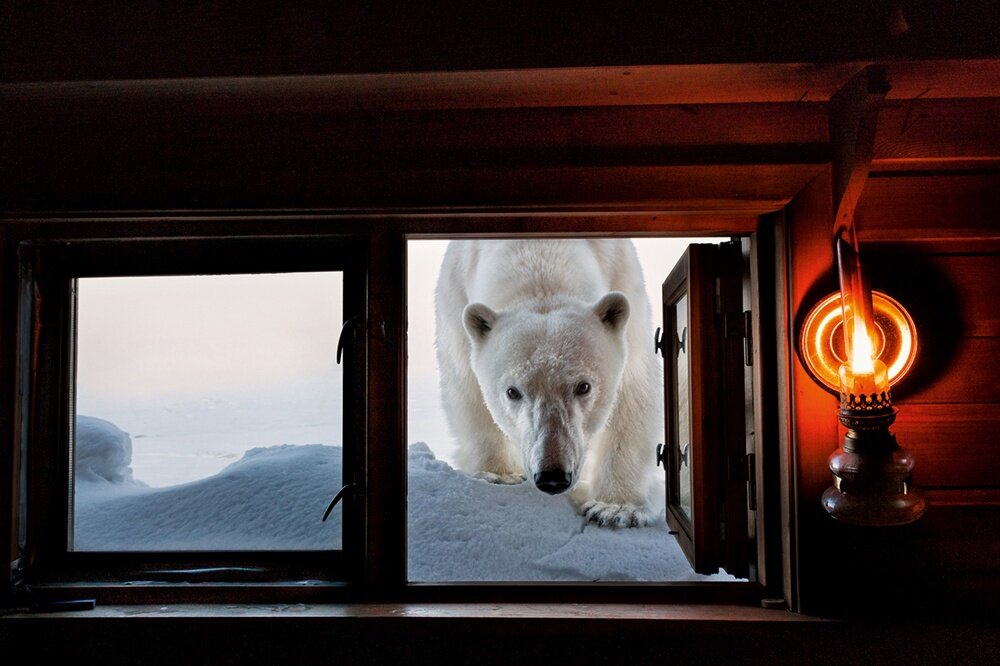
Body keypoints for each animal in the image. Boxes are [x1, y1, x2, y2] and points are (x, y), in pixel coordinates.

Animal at [438, 237, 664, 524]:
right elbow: (467, 389)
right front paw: (498, 474)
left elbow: (632, 395)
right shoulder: (455, 298)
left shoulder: (623, 280)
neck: (538, 251)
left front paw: (615, 508)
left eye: (584, 386)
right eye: (512, 391)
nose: (553, 476)